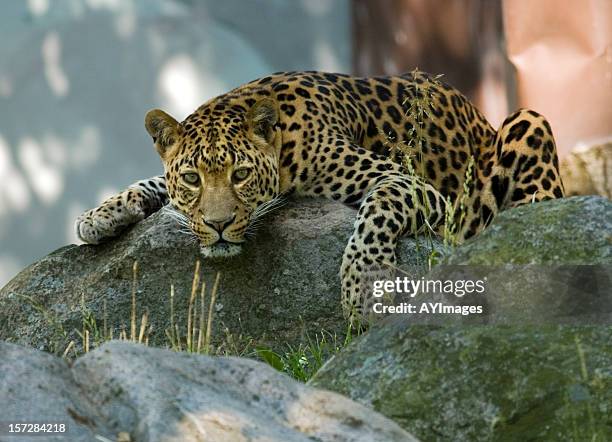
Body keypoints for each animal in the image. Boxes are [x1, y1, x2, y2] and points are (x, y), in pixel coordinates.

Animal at [75, 71, 564, 322]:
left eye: (241, 174)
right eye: (193, 178)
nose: (218, 226)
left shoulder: (416, 187)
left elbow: (379, 208)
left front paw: (363, 287)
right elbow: (153, 182)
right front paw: (101, 214)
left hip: (528, 120)